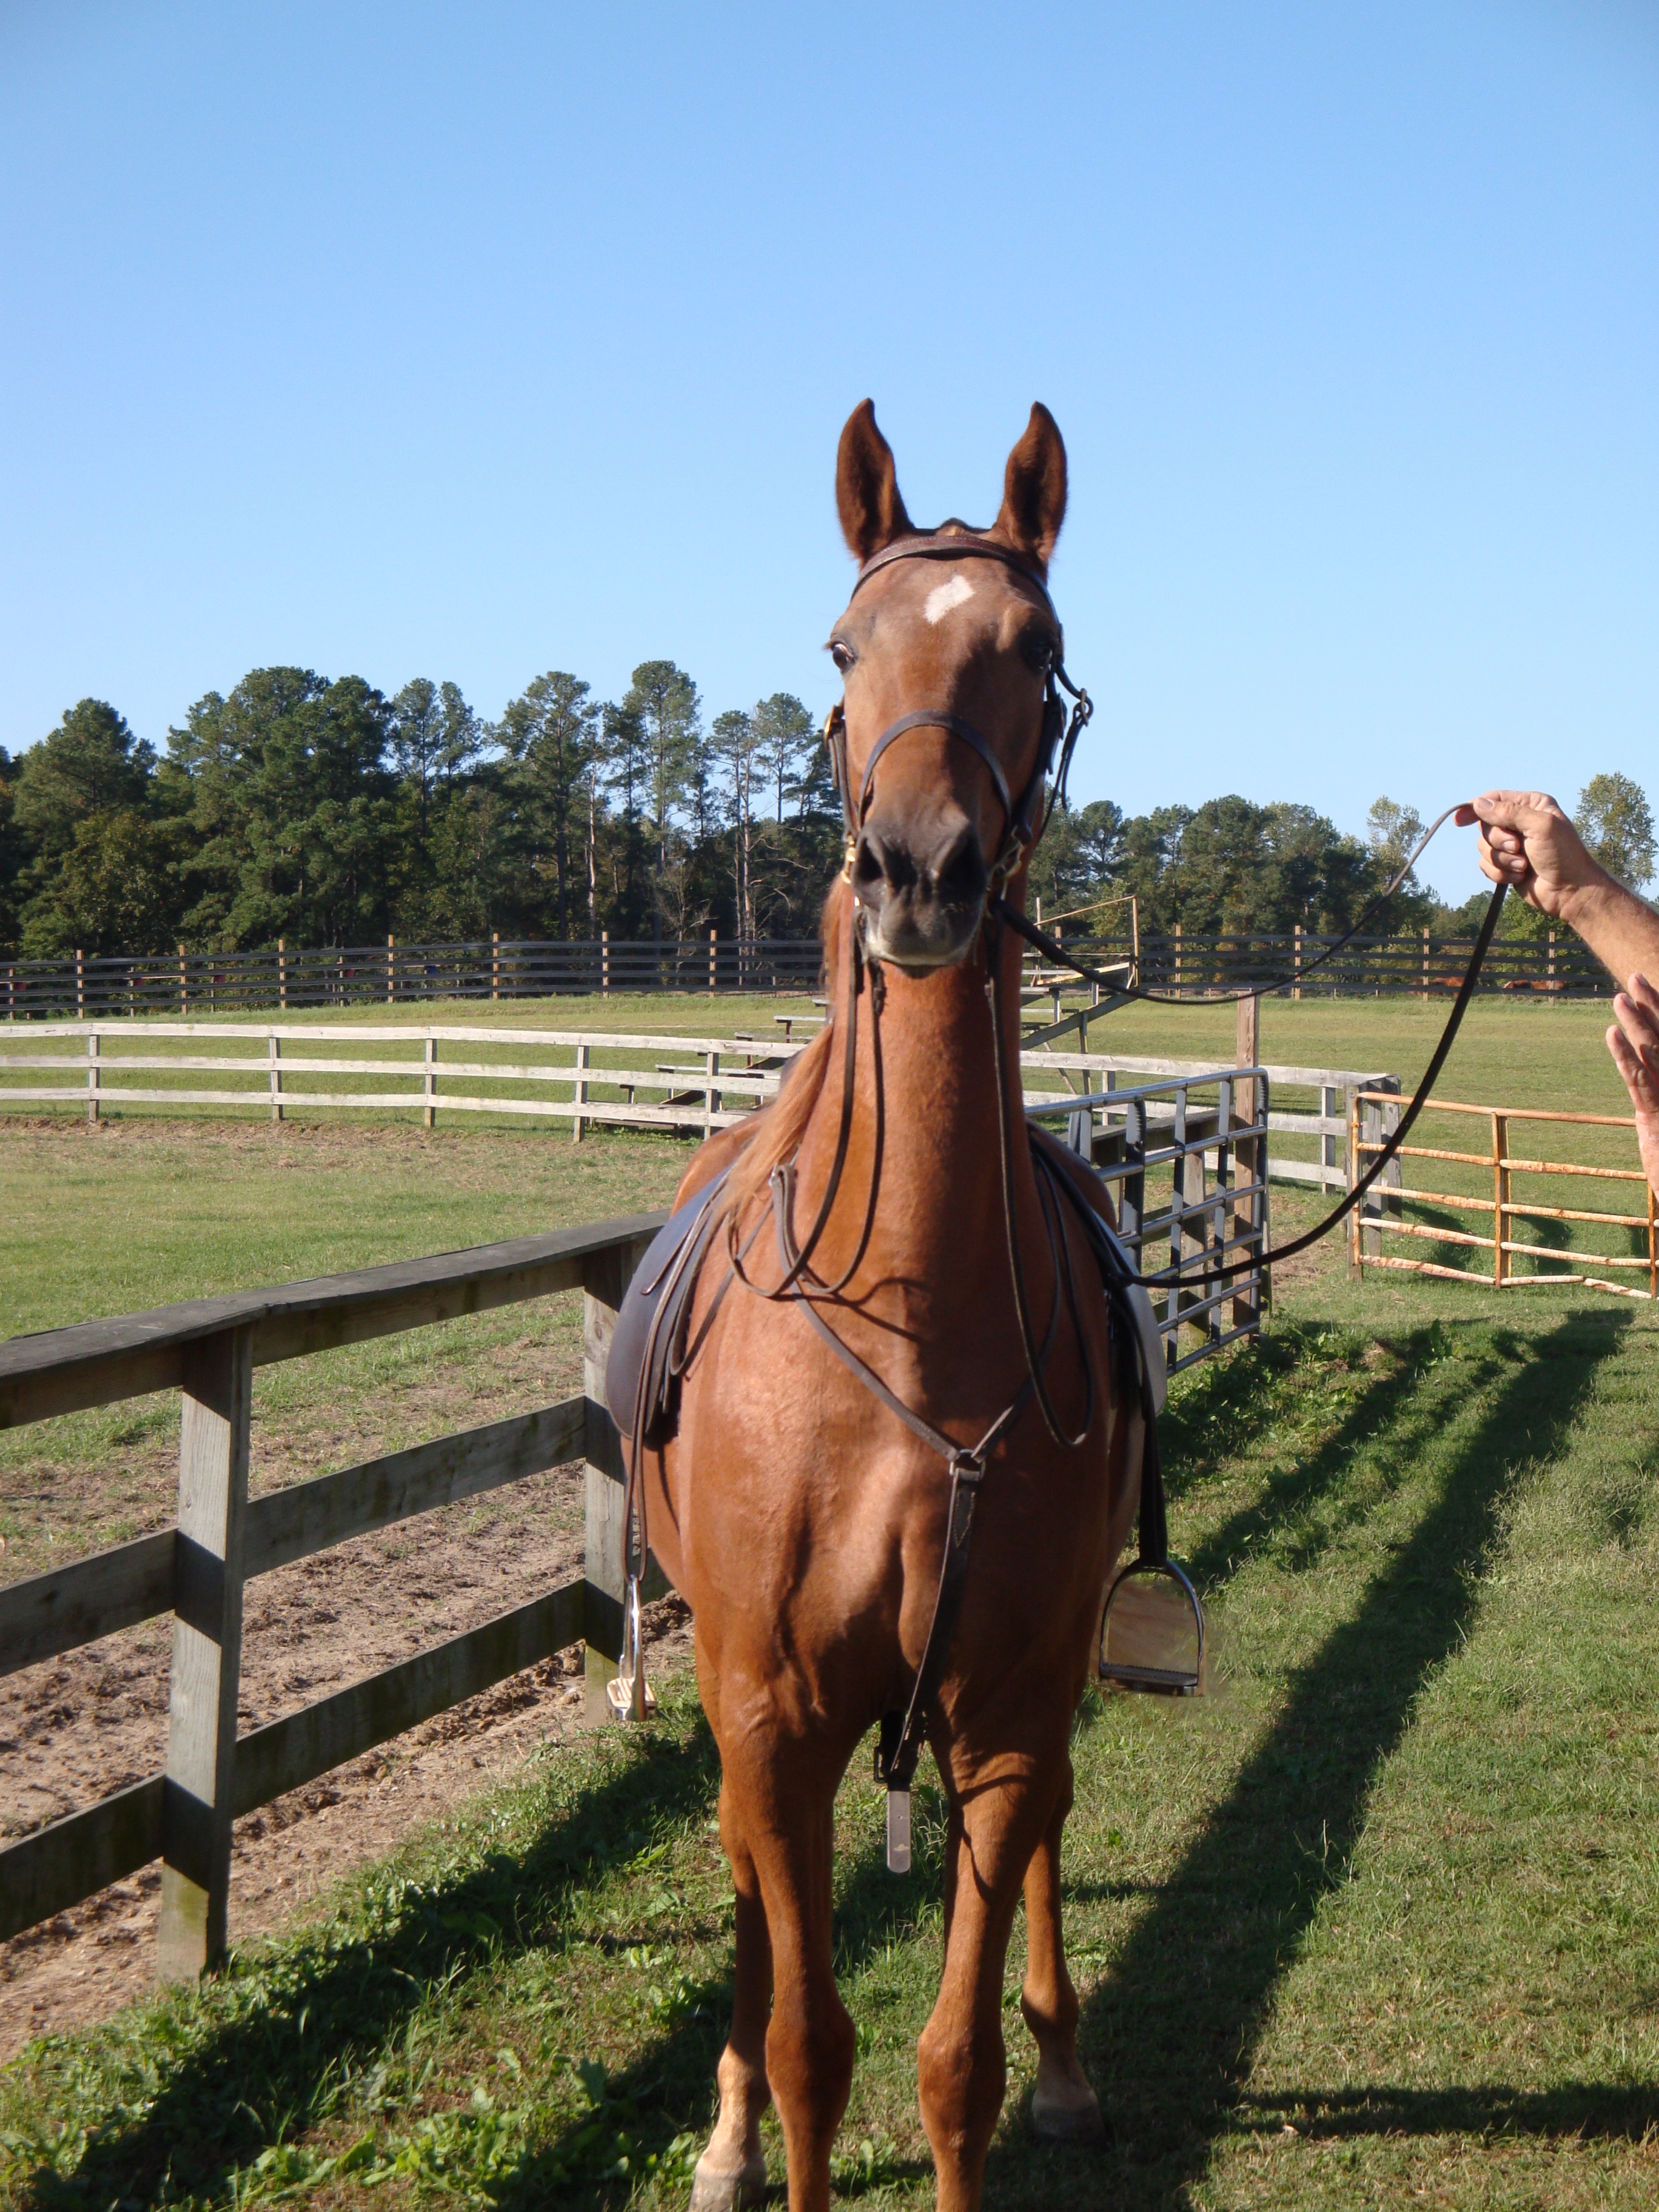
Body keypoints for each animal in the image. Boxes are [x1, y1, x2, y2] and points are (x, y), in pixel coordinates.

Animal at [637, 402, 1141, 2212]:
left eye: (1034, 650)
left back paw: (1071, 2062)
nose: (919, 869)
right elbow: (809, 2046)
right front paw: (743, 2115)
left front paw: (1026, 2065)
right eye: (846, 648)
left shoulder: (1004, 1706)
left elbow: (948, 2063)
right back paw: (715, 2127)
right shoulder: (771, 1716)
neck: (915, 1318)